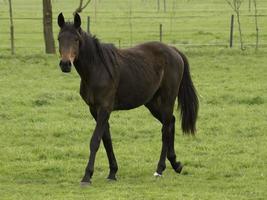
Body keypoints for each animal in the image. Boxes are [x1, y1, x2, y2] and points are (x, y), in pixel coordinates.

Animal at [57, 12, 199, 184]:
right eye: (59, 38)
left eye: (76, 39)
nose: (65, 64)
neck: (97, 69)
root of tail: (174, 50)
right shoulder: (94, 110)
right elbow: (106, 140)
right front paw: (112, 172)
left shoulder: (104, 109)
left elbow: (95, 141)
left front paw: (87, 176)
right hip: (151, 103)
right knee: (171, 122)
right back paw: (175, 164)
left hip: (167, 99)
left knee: (165, 129)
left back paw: (159, 169)